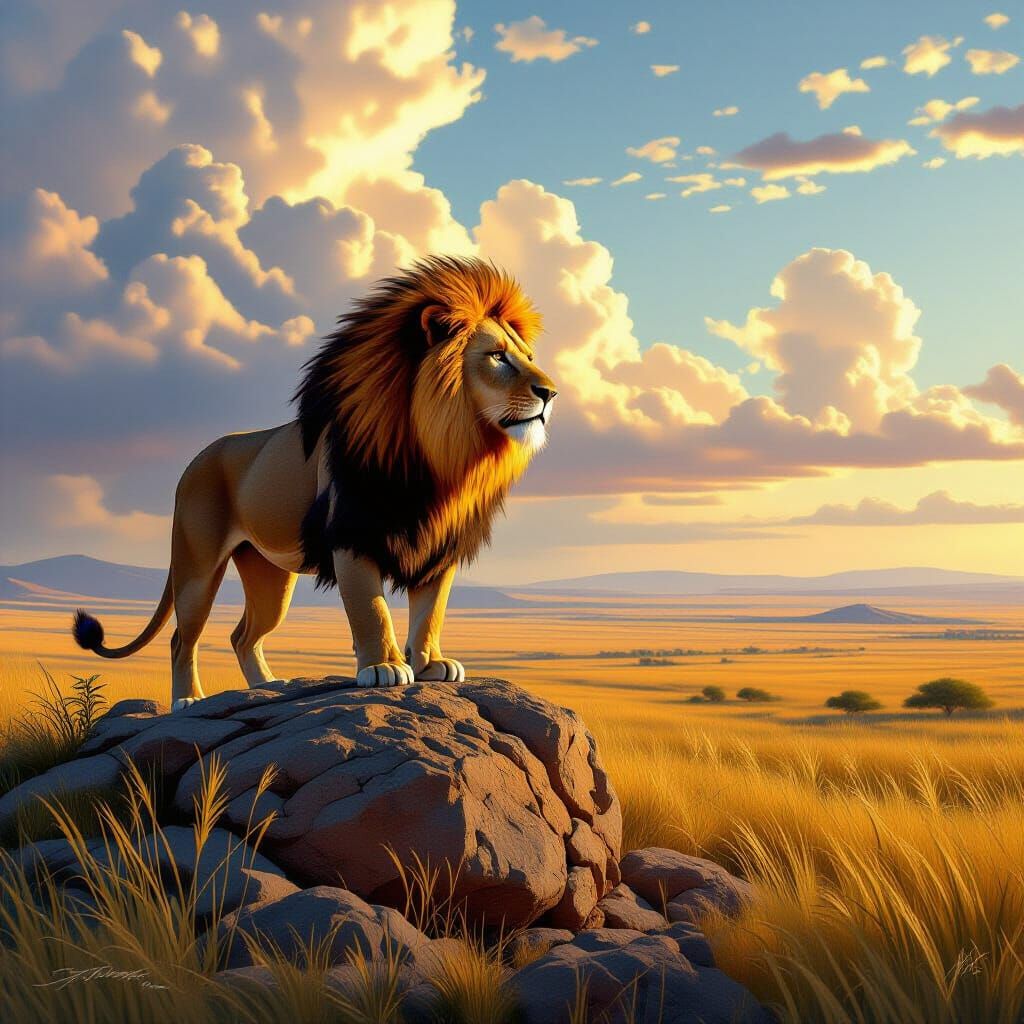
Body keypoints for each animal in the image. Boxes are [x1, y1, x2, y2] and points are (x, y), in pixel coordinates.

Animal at [72, 256, 557, 711]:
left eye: (529, 357)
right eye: (498, 357)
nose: (550, 392)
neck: (443, 456)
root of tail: (196, 458)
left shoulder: (439, 545)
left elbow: (430, 611)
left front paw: (431, 663)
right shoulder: (352, 535)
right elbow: (371, 609)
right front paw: (384, 668)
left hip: (268, 576)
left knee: (243, 634)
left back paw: (267, 686)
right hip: (197, 566)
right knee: (182, 638)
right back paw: (189, 699)